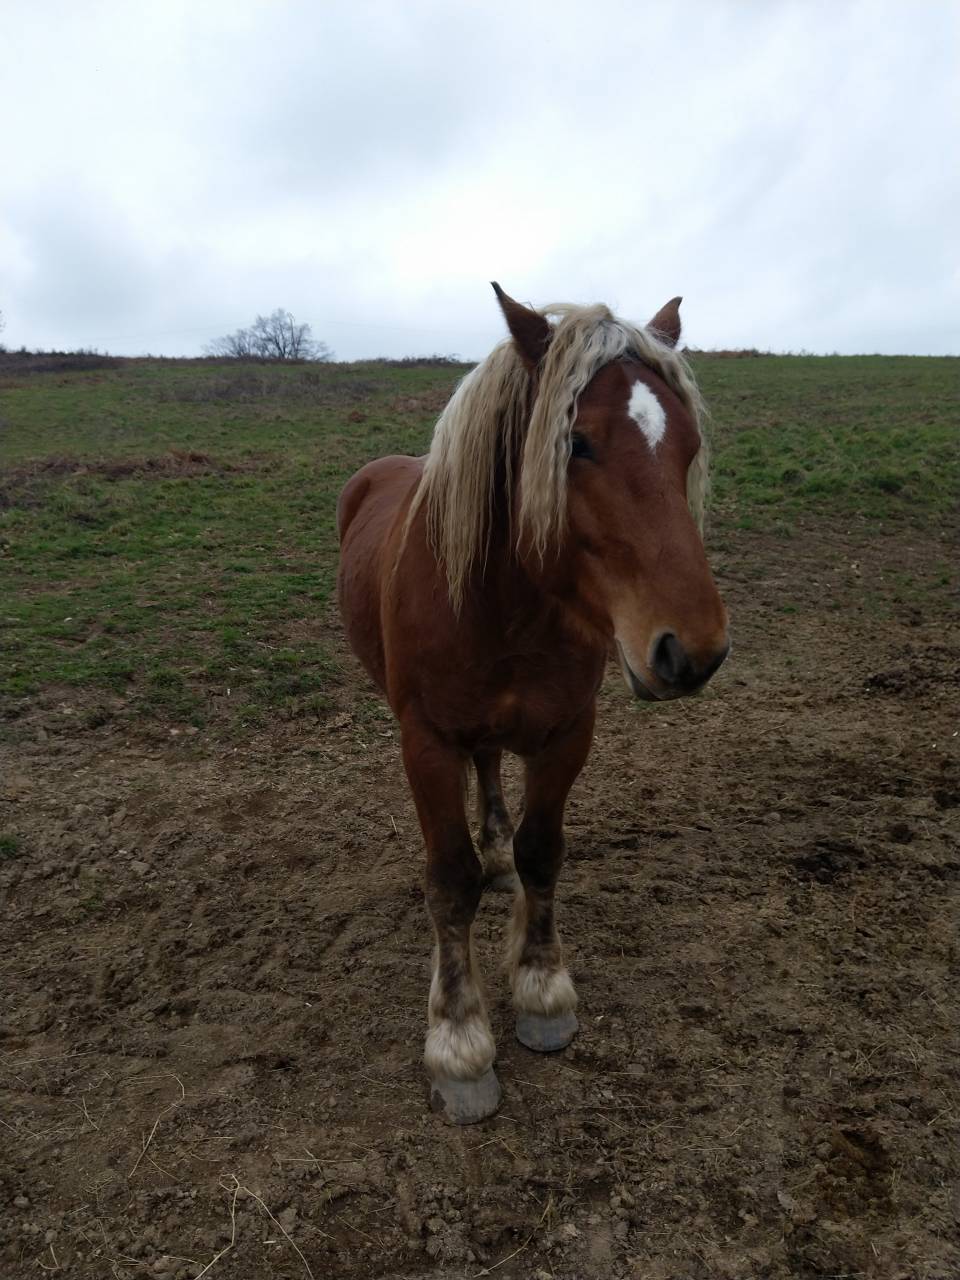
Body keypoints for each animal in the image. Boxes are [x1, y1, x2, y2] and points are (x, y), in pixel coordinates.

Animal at [337, 284, 729, 1123]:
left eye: (686, 445)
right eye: (576, 444)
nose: (695, 651)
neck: (505, 603)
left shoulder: (568, 733)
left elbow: (543, 851)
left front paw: (544, 991)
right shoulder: (425, 742)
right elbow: (448, 883)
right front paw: (459, 1045)